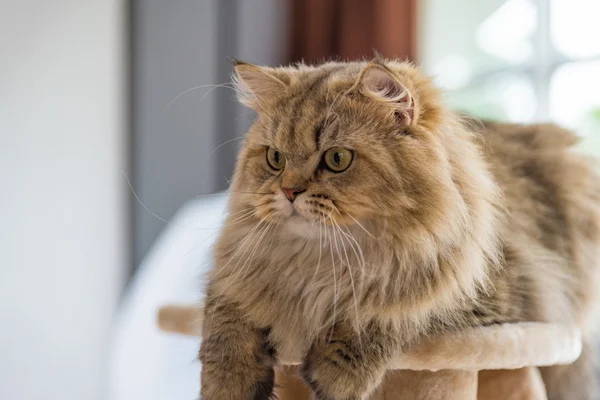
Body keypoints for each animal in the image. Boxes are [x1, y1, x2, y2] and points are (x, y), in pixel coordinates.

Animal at [198, 57, 600, 400]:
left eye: (337, 159)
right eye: (275, 159)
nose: (289, 192)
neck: (322, 265)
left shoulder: (497, 294)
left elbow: (395, 311)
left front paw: (335, 377)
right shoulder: (237, 272)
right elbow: (224, 327)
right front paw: (227, 384)